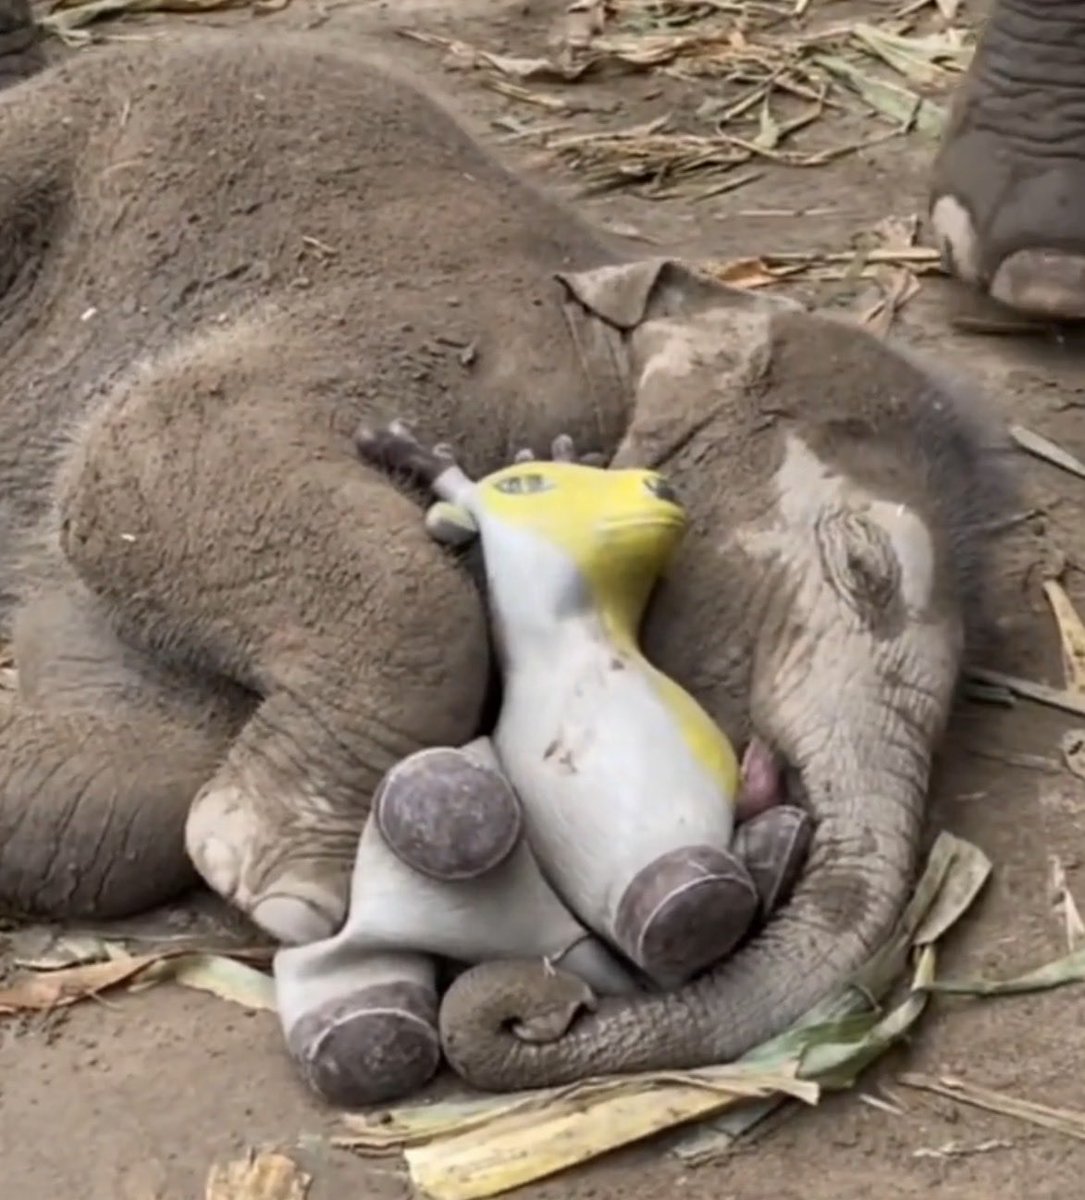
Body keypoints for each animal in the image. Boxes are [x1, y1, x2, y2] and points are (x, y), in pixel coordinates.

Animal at [0, 12, 1017, 1100]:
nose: (546, 1007)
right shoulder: (451, 342)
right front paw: (284, 887)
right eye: (864, 568)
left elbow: (125, 773)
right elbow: (139, 452)